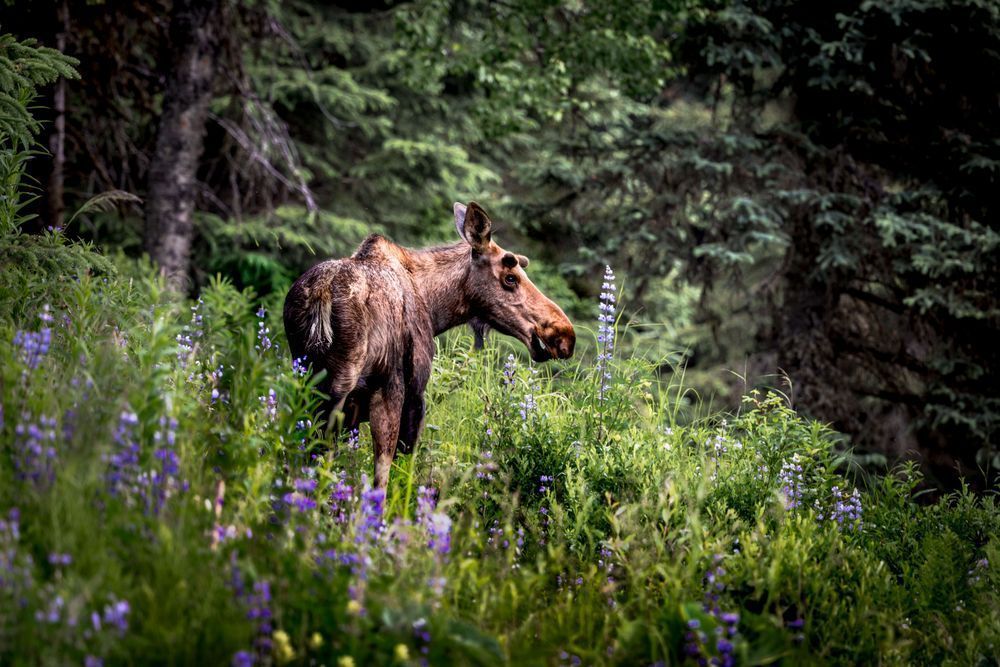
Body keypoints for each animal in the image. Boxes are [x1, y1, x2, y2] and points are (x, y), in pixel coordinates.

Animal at [283, 201, 576, 489]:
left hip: (307, 383)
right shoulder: (413, 393)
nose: (565, 334)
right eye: (510, 277)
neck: (435, 309)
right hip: (360, 389)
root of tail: (323, 291)